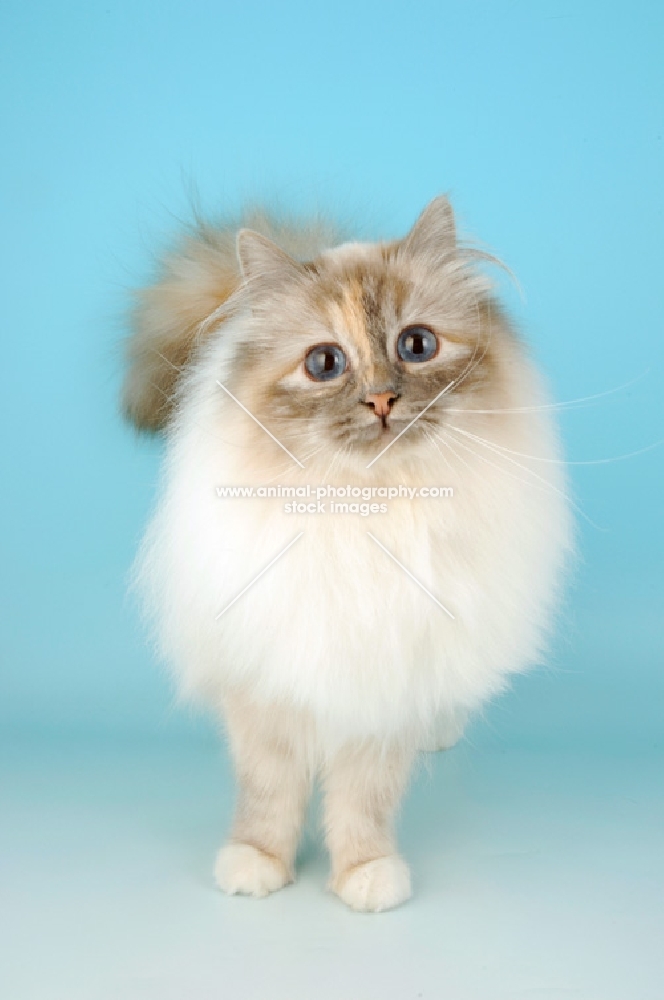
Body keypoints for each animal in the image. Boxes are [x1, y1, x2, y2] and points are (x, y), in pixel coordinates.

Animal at [123, 195, 572, 916]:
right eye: (325, 363)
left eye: (416, 346)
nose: (382, 401)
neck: (362, 508)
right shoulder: (268, 689)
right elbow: (269, 795)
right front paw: (256, 865)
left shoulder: (380, 689)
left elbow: (362, 803)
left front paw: (366, 876)